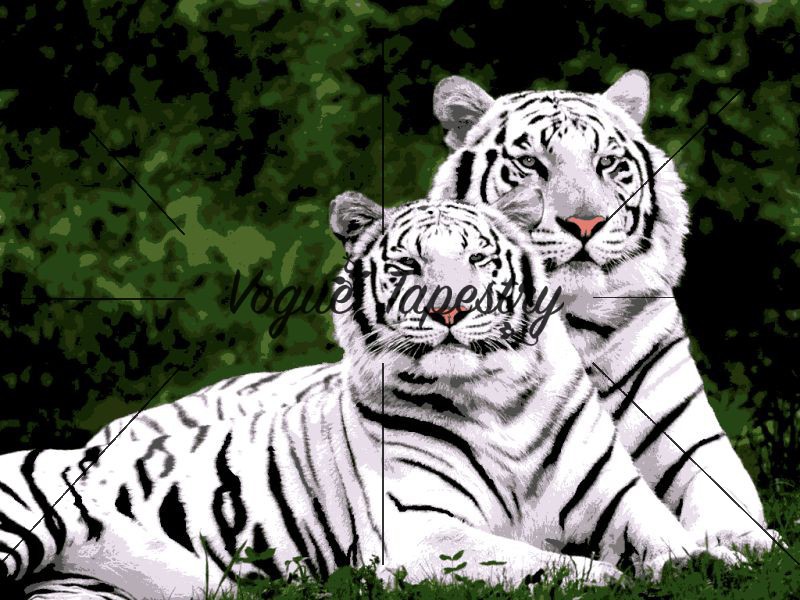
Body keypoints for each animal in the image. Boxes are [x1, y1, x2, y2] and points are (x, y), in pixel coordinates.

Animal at [0, 192, 742, 599]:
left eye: (478, 260)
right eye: (408, 264)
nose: (449, 308)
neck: (496, 402)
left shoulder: (619, 499)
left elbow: (670, 541)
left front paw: (715, 563)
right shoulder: (421, 527)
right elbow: (541, 564)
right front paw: (611, 581)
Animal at [428, 69, 780, 552]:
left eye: (607, 163)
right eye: (531, 164)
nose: (586, 224)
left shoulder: (687, 432)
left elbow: (726, 496)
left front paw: (745, 543)